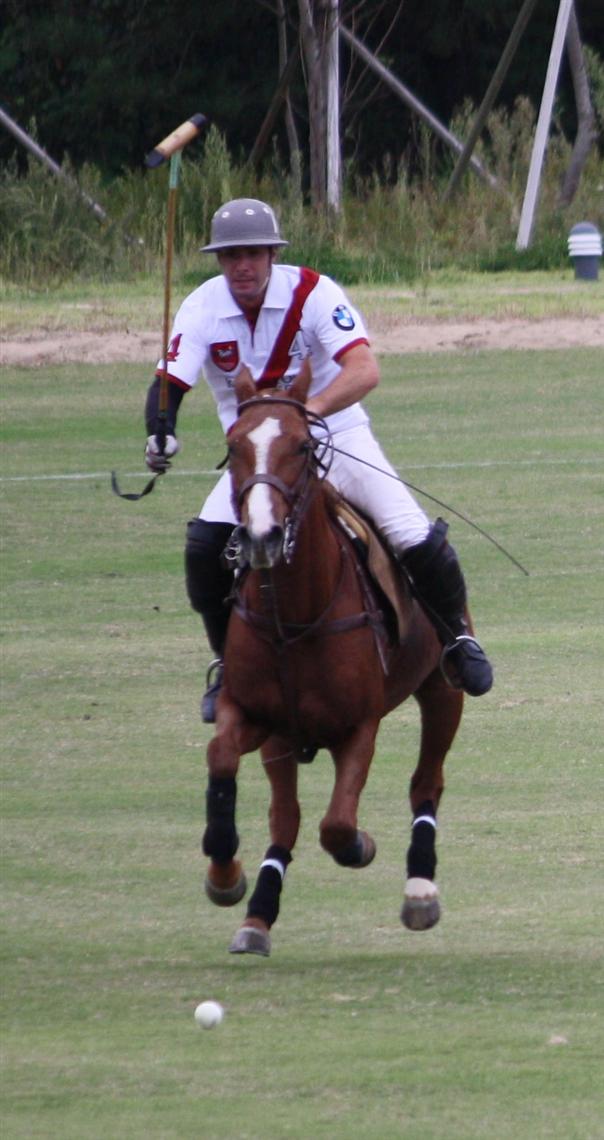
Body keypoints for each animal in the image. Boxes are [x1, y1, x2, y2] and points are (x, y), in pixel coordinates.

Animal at [201, 362, 464, 956]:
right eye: (232, 445)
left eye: (302, 444)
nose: (262, 537)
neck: (295, 618)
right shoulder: (257, 718)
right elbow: (226, 761)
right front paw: (228, 877)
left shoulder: (358, 726)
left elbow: (339, 826)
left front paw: (362, 845)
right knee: (286, 817)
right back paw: (255, 912)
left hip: (444, 689)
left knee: (427, 782)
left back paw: (419, 890)